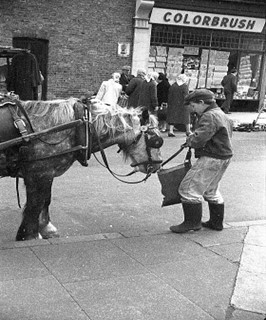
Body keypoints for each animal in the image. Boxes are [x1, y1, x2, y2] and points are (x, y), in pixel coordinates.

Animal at [0, 96, 163, 241]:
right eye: (156, 140)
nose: (158, 164)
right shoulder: (39, 172)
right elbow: (35, 204)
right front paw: (28, 235)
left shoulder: (47, 173)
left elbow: (46, 199)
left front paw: (46, 228)